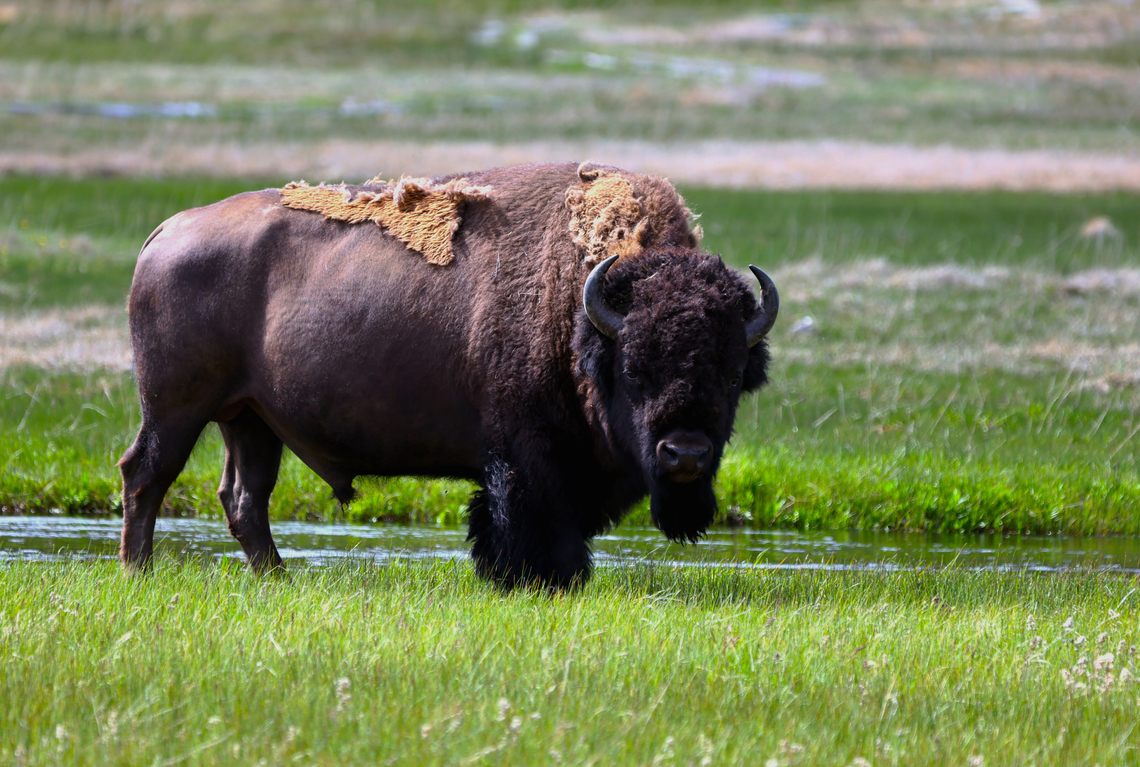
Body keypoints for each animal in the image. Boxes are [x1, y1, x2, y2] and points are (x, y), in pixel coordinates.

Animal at [119, 161, 777, 589]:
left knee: (244, 498)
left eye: (731, 374)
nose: (686, 455)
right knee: (146, 473)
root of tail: (167, 231)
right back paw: (139, 571)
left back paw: (278, 579)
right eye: (635, 369)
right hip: (176, 409)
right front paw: (536, 581)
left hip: (250, 418)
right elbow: (532, 525)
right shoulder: (526, 460)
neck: (579, 311)